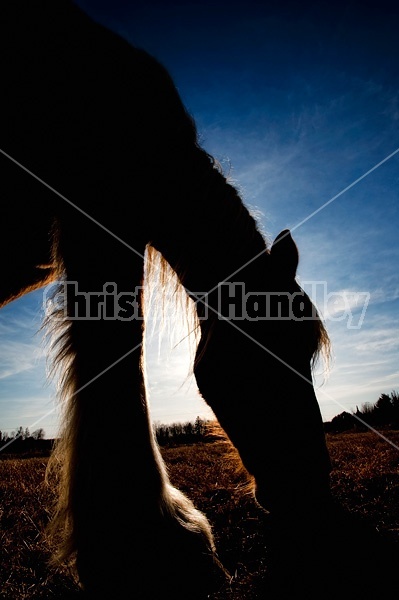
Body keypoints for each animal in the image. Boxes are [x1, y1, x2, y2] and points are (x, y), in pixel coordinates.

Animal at [0, 1, 394, 600]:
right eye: (271, 351)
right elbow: (116, 350)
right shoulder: (99, 217)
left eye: (307, 348)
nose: (309, 494)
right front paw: (158, 547)